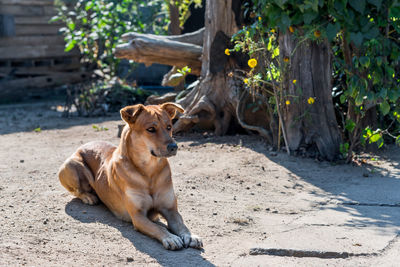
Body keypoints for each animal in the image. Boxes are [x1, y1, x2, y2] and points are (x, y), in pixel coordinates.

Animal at [58, 103, 203, 251]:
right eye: (151, 129)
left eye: (169, 127)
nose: (174, 147)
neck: (149, 171)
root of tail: (84, 144)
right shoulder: (138, 216)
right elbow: (158, 228)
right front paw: (170, 237)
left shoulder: (171, 210)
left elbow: (181, 224)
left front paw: (191, 236)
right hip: (71, 166)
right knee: (76, 191)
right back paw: (89, 197)